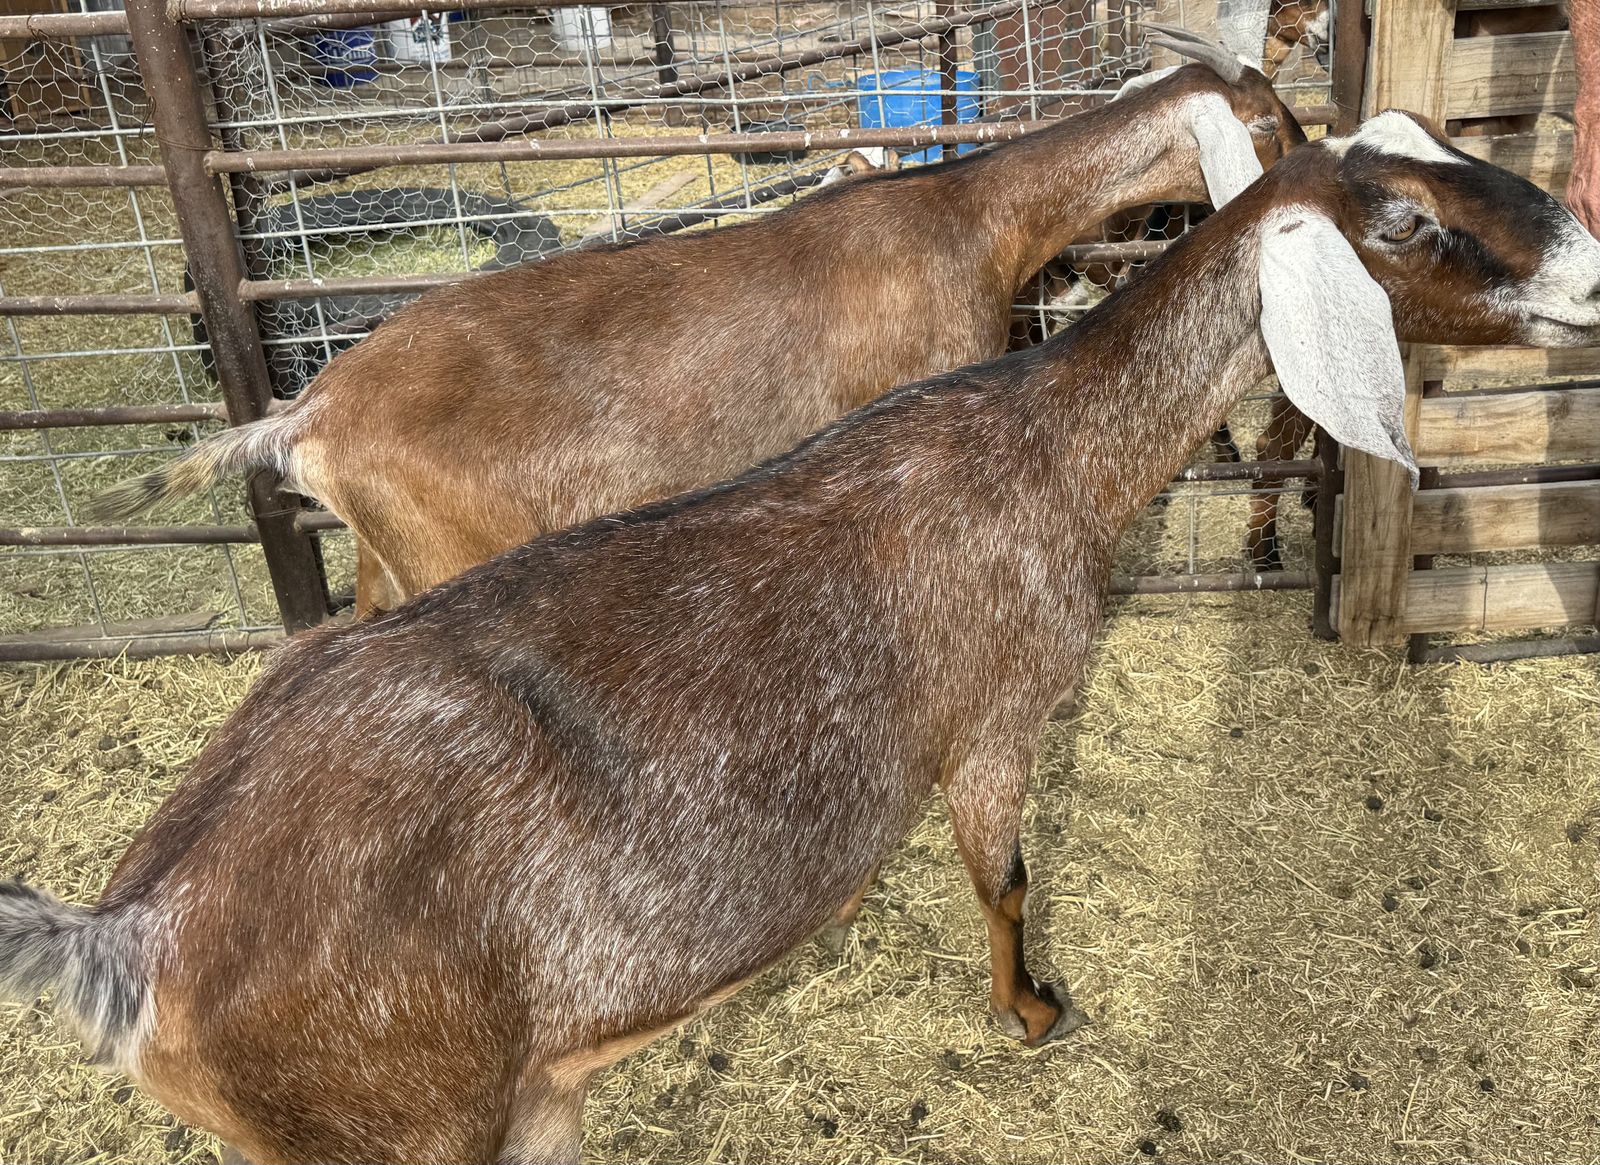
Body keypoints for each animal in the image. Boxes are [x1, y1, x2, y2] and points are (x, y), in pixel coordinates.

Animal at [9, 111, 1600, 1165]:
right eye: (1402, 221)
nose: (1586, 264)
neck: (1054, 452)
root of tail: (129, 936)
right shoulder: (998, 717)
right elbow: (1006, 880)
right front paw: (1031, 1013)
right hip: (400, 1126)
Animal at [90, 34, 1303, 615]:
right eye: (1271, 122)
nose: (1312, 161)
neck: (973, 218)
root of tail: (308, 414)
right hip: (446, 554)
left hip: (385, 553)